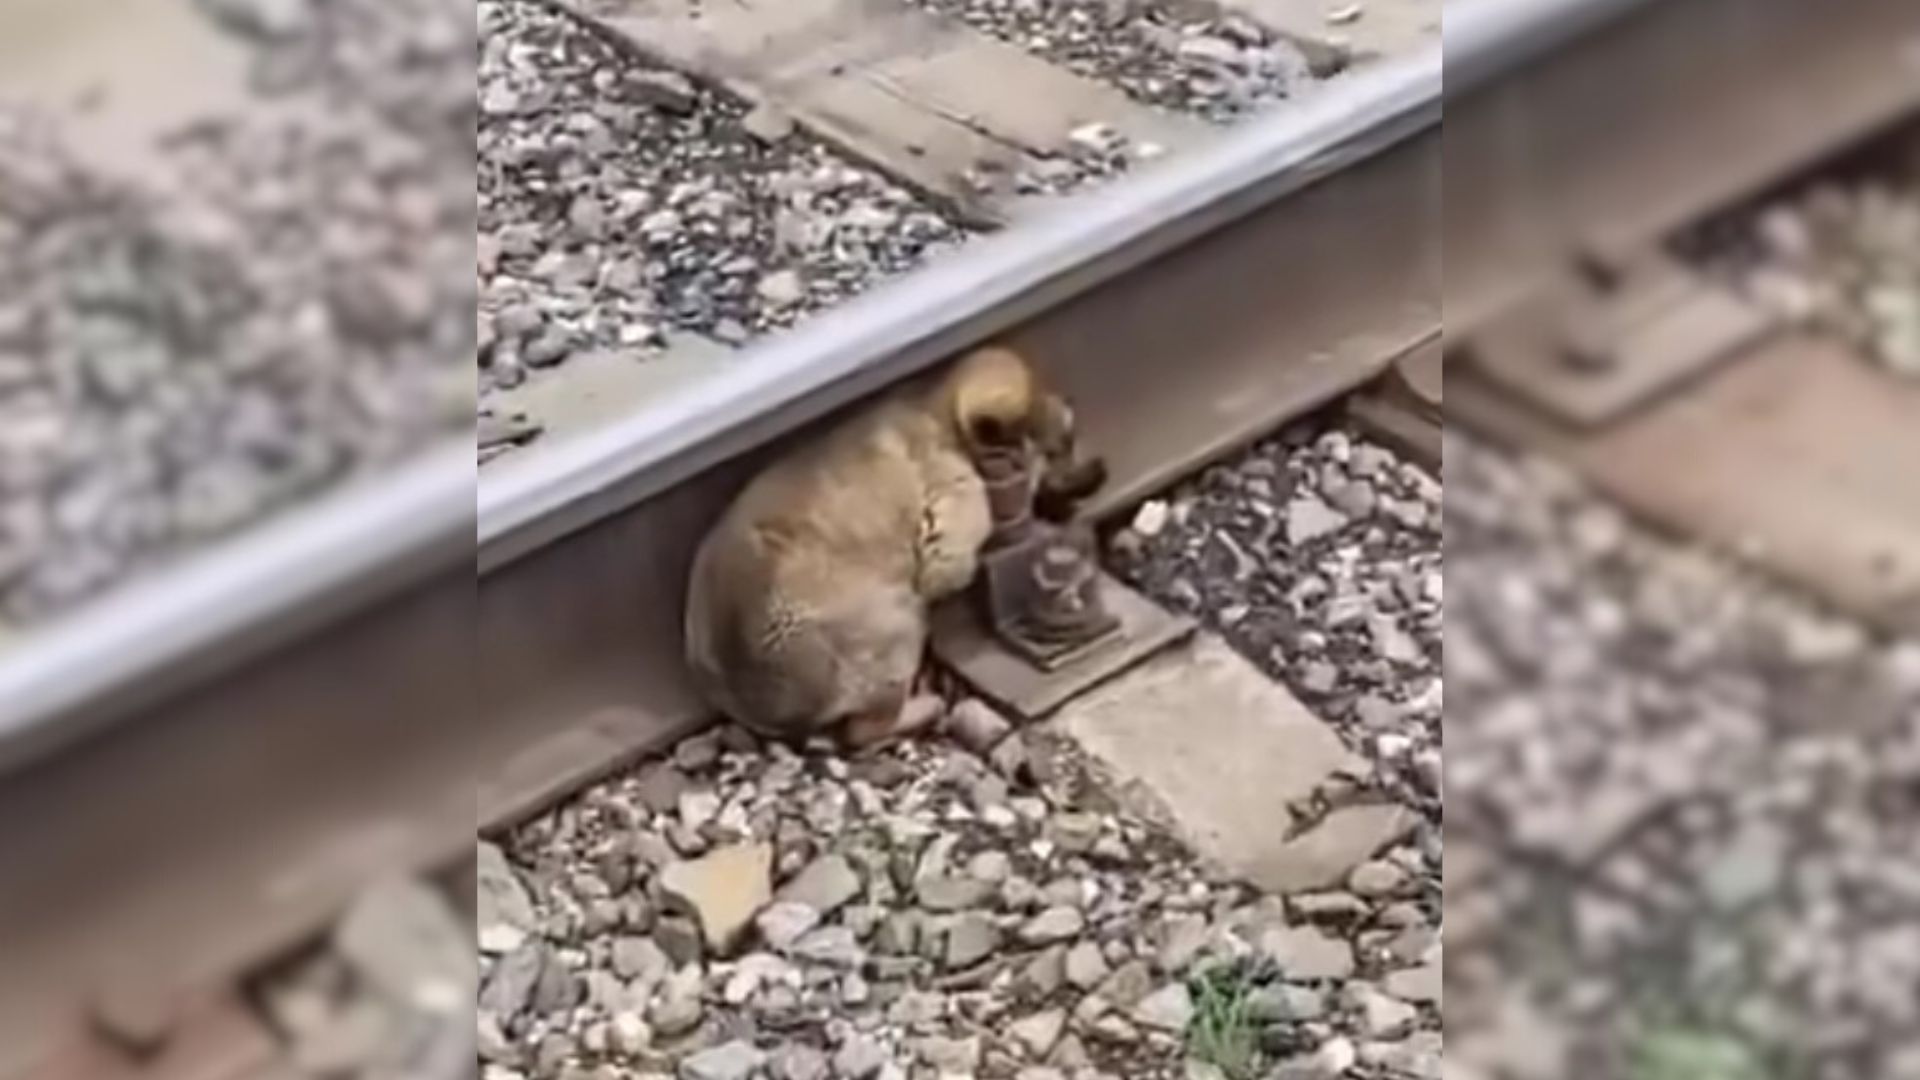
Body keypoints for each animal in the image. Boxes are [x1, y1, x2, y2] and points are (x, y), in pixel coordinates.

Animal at [683, 345, 1105, 749]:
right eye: (1063, 445)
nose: (1101, 471)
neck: (942, 417)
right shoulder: (954, 512)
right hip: (896, 629)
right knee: (862, 729)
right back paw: (924, 706)